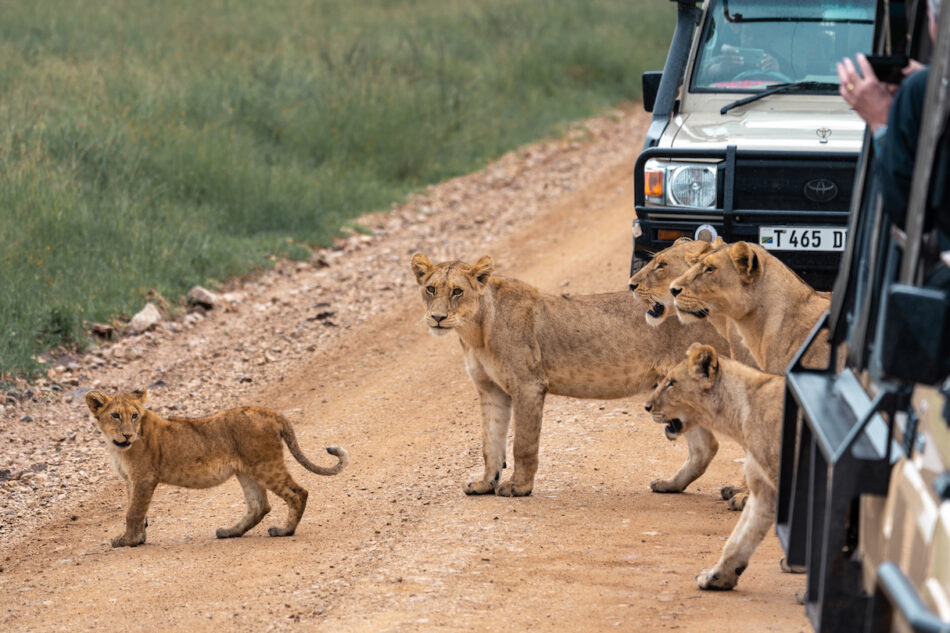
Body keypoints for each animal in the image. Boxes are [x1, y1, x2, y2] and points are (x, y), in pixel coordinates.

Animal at [85, 388, 350, 544]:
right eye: (116, 415)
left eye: (135, 415)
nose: (128, 434)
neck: (118, 446)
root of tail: (271, 413)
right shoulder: (131, 480)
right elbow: (140, 511)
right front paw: (138, 537)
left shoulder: (144, 478)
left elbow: (133, 511)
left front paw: (126, 540)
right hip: (246, 471)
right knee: (259, 505)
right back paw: (229, 532)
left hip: (265, 465)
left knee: (298, 493)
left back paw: (284, 531)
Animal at [410, 252, 736, 498]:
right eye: (431, 289)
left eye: (457, 291)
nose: (437, 317)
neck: (475, 331)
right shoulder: (491, 389)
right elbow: (490, 442)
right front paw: (484, 484)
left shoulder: (528, 385)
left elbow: (522, 444)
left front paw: (518, 487)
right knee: (705, 448)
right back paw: (670, 485)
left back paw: (736, 495)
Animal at [644, 344, 784, 592]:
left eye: (671, 382)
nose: (647, 406)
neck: (739, 412)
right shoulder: (764, 489)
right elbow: (739, 538)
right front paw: (716, 578)